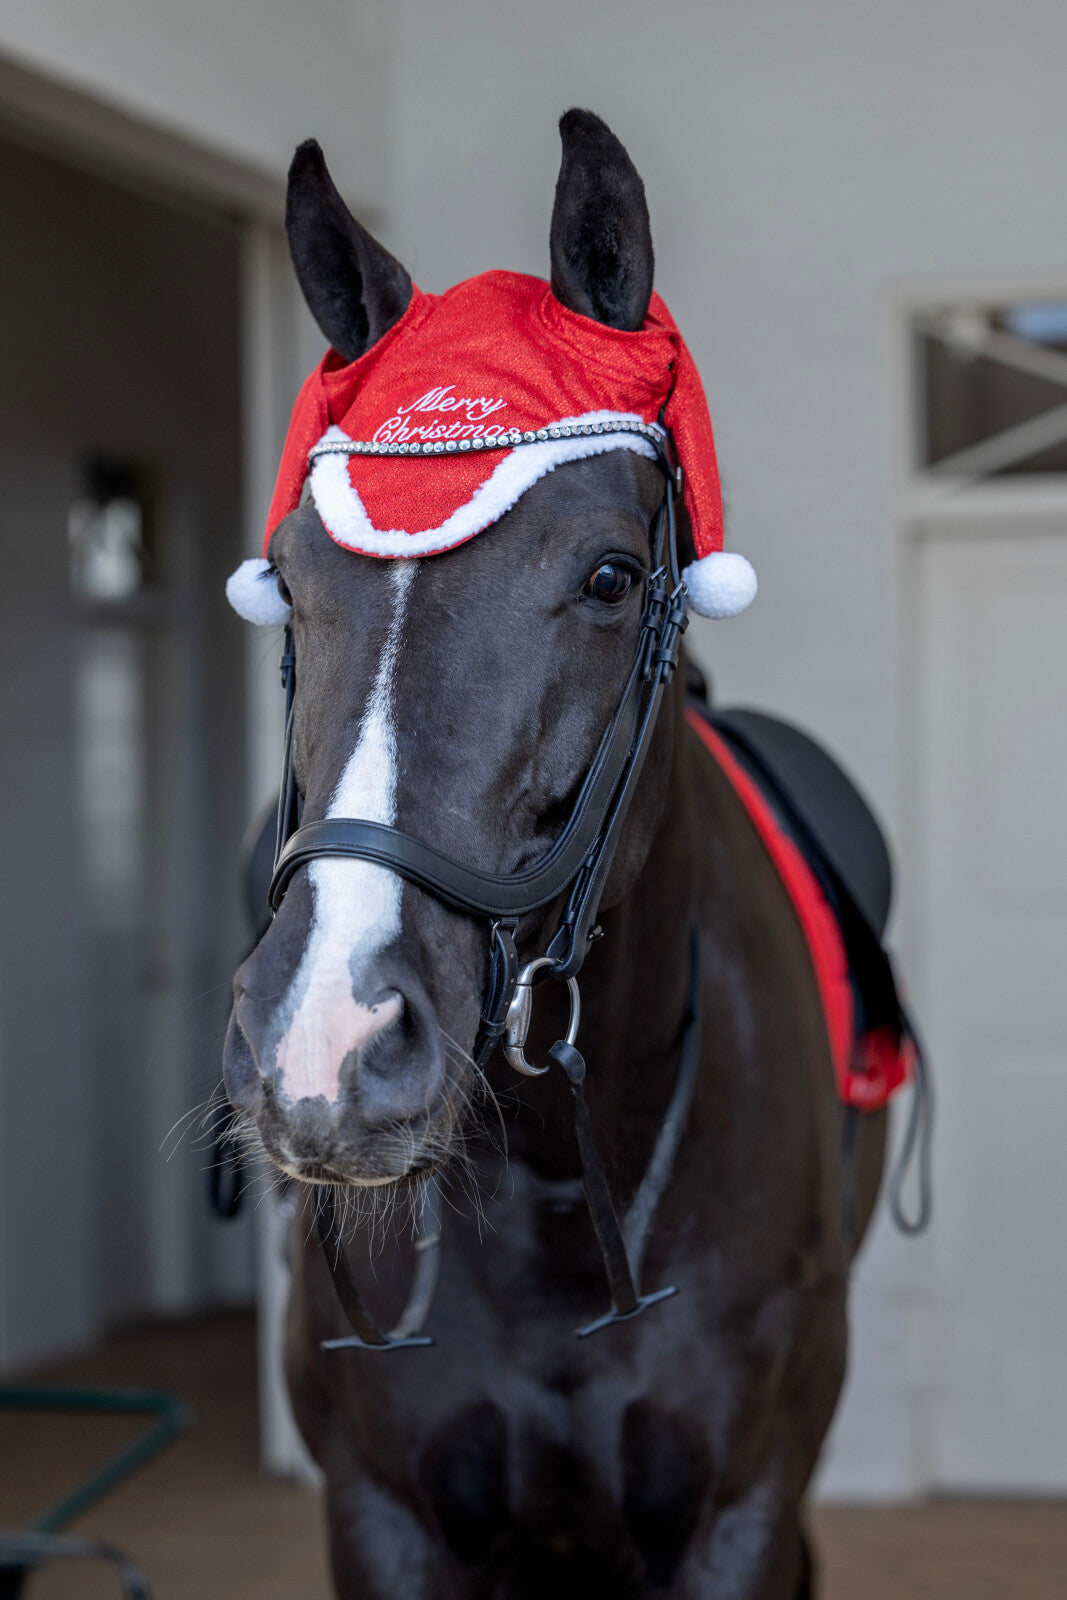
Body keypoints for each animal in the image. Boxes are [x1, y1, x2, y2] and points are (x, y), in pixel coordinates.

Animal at [223, 110, 888, 1599]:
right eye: (287, 578)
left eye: (606, 577)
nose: (328, 1045)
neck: (555, 1185)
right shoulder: (385, 1516)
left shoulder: (737, 1516)